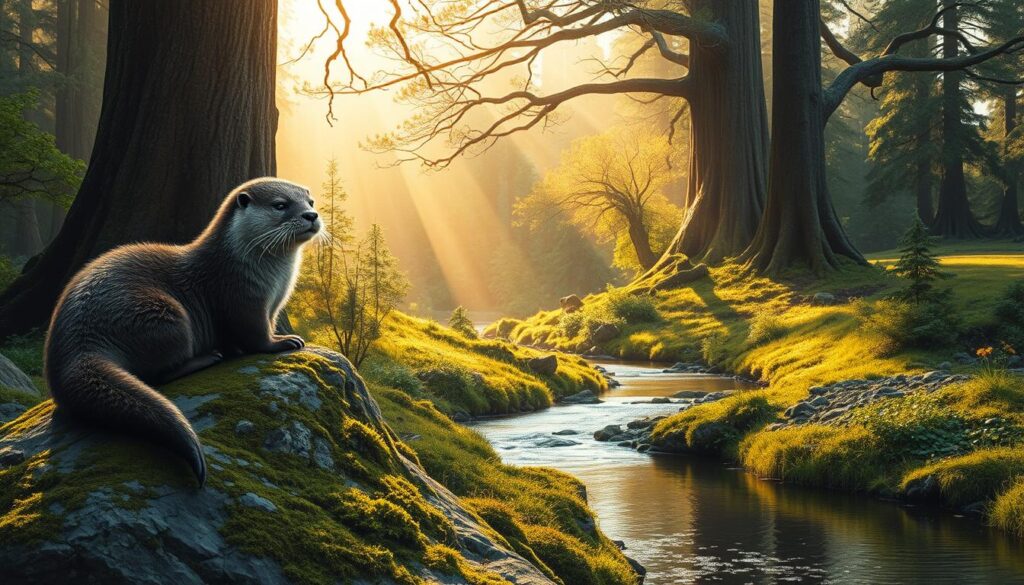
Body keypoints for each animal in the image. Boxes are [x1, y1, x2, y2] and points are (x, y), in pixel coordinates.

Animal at [45, 177, 322, 487]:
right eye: (281, 205)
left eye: (310, 202)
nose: (311, 215)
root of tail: (78, 345)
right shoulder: (240, 297)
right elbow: (255, 336)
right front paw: (283, 341)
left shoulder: (272, 307)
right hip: (165, 318)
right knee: (159, 375)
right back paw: (208, 357)